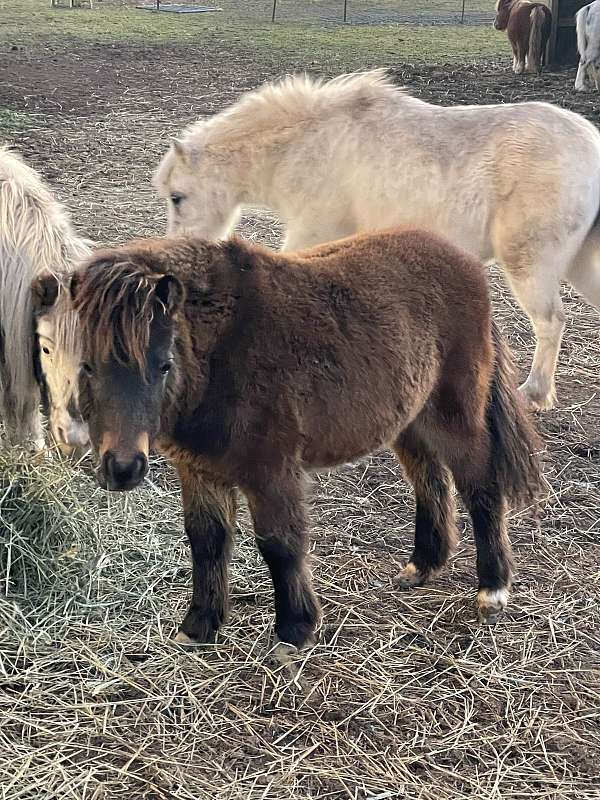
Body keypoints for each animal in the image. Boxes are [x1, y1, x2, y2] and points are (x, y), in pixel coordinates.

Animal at [48, 228, 540, 648]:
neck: (222, 351)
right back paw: (423, 565)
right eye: (86, 365)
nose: (123, 468)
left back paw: (493, 588)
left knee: (480, 486)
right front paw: (200, 625)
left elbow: (279, 544)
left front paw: (294, 630)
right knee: (429, 480)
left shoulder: (270, 470)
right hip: (411, 421)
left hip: (454, 417)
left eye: (164, 365)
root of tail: (467, 262)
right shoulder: (200, 471)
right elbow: (206, 542)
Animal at [155, 70, 600, 412]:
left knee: (551, 321)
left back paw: (533, 394)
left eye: (177, 197)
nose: (178, 252)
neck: (307, 144)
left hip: (529, 263)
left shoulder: (312, 231)